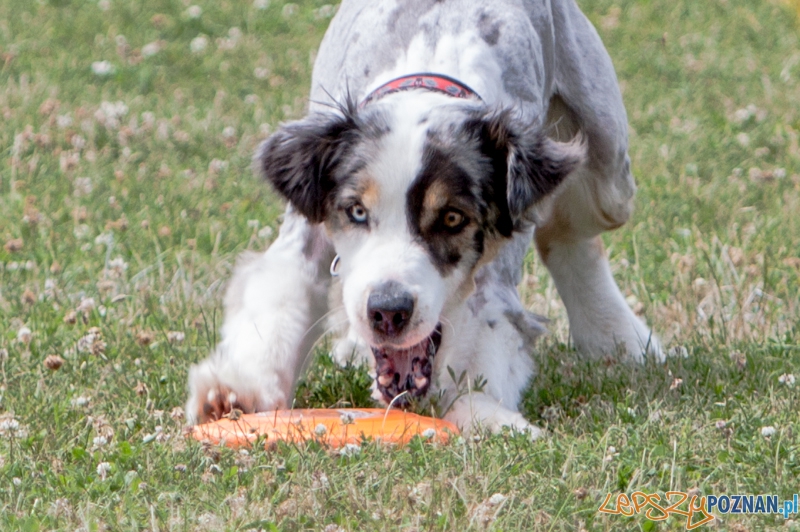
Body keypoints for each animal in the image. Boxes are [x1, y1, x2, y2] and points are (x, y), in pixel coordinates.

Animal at [186, 0, 664, 436]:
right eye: (357, 211)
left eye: (452, 218)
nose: (387, 312)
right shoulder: (307, 222)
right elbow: (282, 289)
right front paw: (232, 397)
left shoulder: (497, 272)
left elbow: (490, 337)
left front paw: (490, 418)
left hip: (606, 165)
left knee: (572, 231)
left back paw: (619, 337)